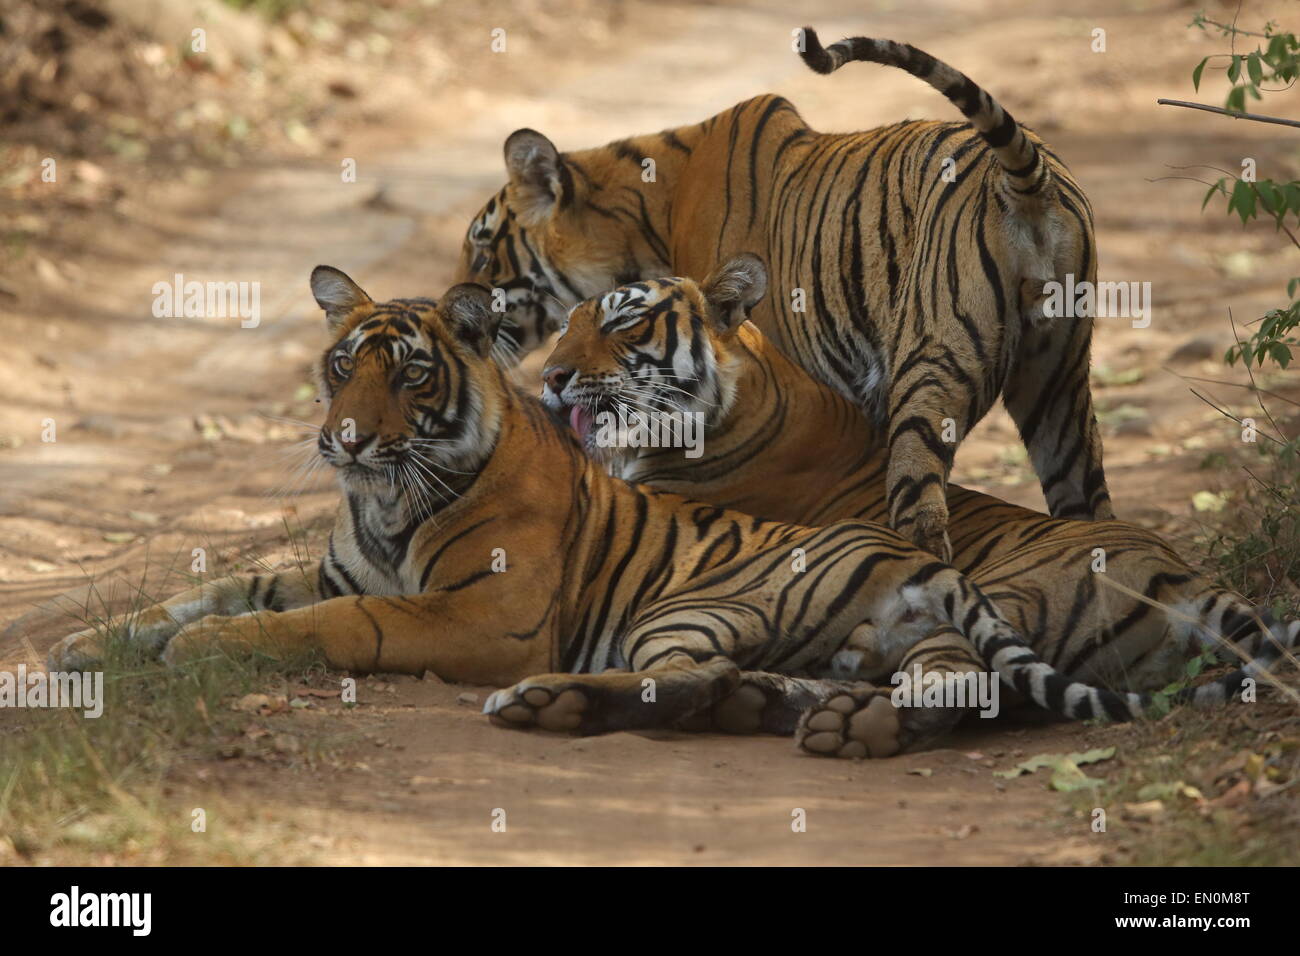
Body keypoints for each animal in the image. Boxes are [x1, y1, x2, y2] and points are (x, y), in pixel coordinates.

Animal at [45, 267, 1216, 754]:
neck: (381, 502)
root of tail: (1187, 574)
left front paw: (204, 653)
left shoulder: (484, 617)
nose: (345, 439)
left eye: (409, 375)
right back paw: (816, 716)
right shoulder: (328, 563)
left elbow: (332, 623)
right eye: (342, 367)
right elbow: (214, 587)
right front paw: (84, 644)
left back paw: (555, 706)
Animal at [454, 27, 1107, 561]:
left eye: (483, 252)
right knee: (1088, 501)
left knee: (921, 512)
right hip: (1058, 382)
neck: (645, 211)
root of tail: (1025, 178)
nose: (455, 308)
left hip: (933, 366)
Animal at [533, 256, 1294, 754]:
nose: (549, 377)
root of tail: (1188, 576)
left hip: (996, 598)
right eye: (565, 325)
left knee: (966, 680)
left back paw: (843, 720)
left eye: (626, 324)